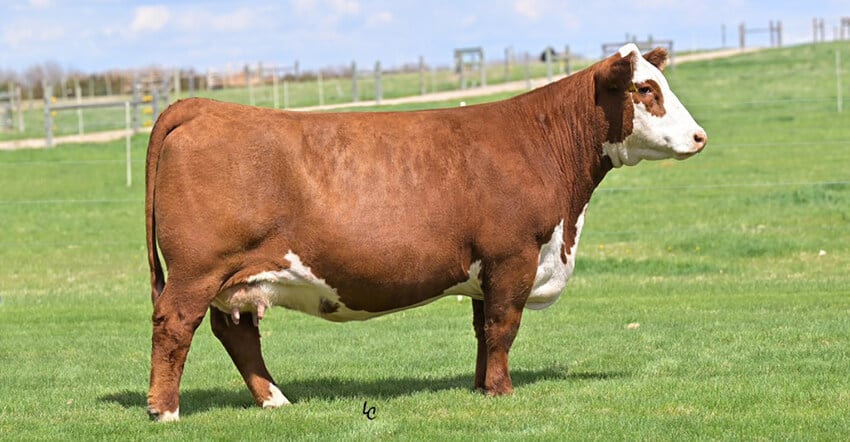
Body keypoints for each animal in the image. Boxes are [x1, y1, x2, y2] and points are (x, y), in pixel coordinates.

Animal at [144, 43, 706, 422]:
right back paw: (165, 411)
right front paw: (503, 392)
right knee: (175, 324)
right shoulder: (513, 257)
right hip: (198, 270)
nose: (700, 136)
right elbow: (504, 327)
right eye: (645, 89)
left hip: (232, 278)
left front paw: (481, 388)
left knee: (236, 333)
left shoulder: (486, 270)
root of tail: (204, 106)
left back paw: (275, 400)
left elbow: (483, 330)